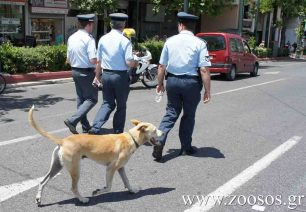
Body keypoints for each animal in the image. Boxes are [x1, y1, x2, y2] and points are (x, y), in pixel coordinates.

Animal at [28, 105, 163, 205]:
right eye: (155, 130)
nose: (163, 132)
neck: (131, 138)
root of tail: (63, 140)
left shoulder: (121, 168)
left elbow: (127, 181)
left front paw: (133, 190)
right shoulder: (111, 168)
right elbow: (108, 187)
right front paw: (98, 191)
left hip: (57, 165)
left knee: (42, 181)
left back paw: (39, 198)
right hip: (75, 169)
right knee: (73, 188)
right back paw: (82, 199)